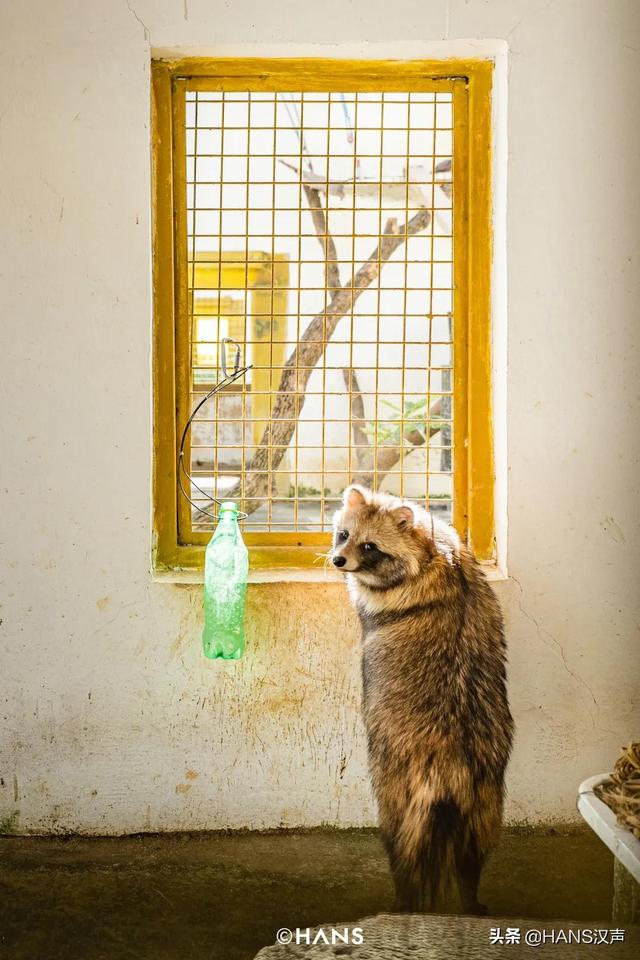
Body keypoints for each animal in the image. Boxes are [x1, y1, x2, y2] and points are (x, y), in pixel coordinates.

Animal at [332, 488, 512, 916]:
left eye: (369, 546)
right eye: (343, 534)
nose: (337, 561)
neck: (430, 551)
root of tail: (449, 766)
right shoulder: (459, 549)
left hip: (398, 784)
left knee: (401, 845)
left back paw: (403, 899)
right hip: (484, 799)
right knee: (472, 855)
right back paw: (470, 896)